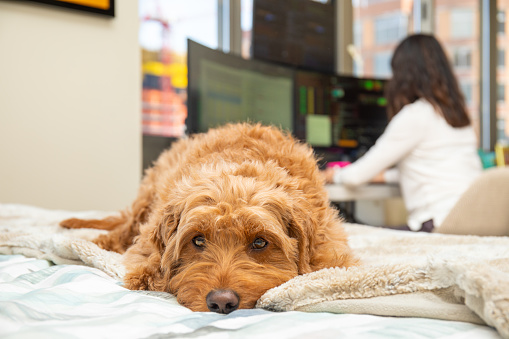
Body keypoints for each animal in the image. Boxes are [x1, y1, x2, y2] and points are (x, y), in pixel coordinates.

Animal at [60, 123, 358, 314]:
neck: (240, 168)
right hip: (146, 196)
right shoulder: (146, 242)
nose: (222, 302)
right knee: (123, 226)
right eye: (198, 240)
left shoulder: (330, 249)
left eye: (260, 243)